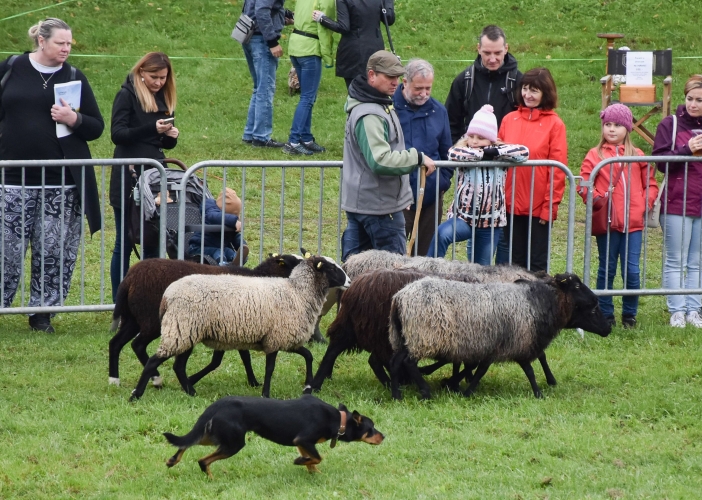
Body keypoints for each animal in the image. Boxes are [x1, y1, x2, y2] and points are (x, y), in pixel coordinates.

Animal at [108, 254, 304, 390]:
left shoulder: (239, 325)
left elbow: (243, 356)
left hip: (132, 318)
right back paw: (156, 379)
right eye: (296, 264)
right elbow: (232, 358)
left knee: (116, 343)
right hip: (153, 320)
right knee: (138, 345)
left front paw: (253, 381)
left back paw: (114, 380)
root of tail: (128, 278)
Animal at [129, 256, 350, 400]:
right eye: (331, 268)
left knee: (178, 366)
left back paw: (192, 392)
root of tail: (167, 295)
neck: (298, 292)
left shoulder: (285, 339)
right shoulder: (276, 337)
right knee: (154, 360)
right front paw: (266, 394)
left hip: (186, 331)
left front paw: (308, 386)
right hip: (181, 328)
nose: (348, 281)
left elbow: (308, 356)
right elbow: (270, 368)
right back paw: (137, 394)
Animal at [164, 394, 384, 476]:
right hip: (233, 443)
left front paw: (313, 472)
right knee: (203, 460)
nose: (384, 437)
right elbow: (317, 457)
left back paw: (173, 460)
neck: (339, 420)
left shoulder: (302, 442)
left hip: (214, 434)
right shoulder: (304, 439)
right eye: (371, 428)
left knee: (185, 443)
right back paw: (210, 476)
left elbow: (312, 460)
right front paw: (300, 462)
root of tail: (218, 404)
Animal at [388, 272, 612, 400]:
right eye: (577, 286)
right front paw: (538, 393)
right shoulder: (514, 343)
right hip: (423, 337)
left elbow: (480, 369)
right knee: (409, 363)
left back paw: (396, 394)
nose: (608, 328)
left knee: (396, 361)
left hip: (405, 337)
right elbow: (527, 370)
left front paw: (461, 388)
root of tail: (400, 297)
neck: (539, 302)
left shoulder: (496, 346)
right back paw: (425, 392)